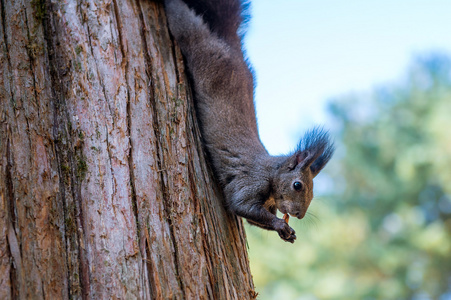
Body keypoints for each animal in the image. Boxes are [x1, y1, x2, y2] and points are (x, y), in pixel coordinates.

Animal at [164, 0, 334, 244]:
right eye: (297, 185)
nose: (299, 215)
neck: (271, 173)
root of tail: (232, 49)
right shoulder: (251, 181)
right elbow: (241, 205)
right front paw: (280, 224)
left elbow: (255, 219)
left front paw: (286, 232)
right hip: (201, 49)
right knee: (187, 26)